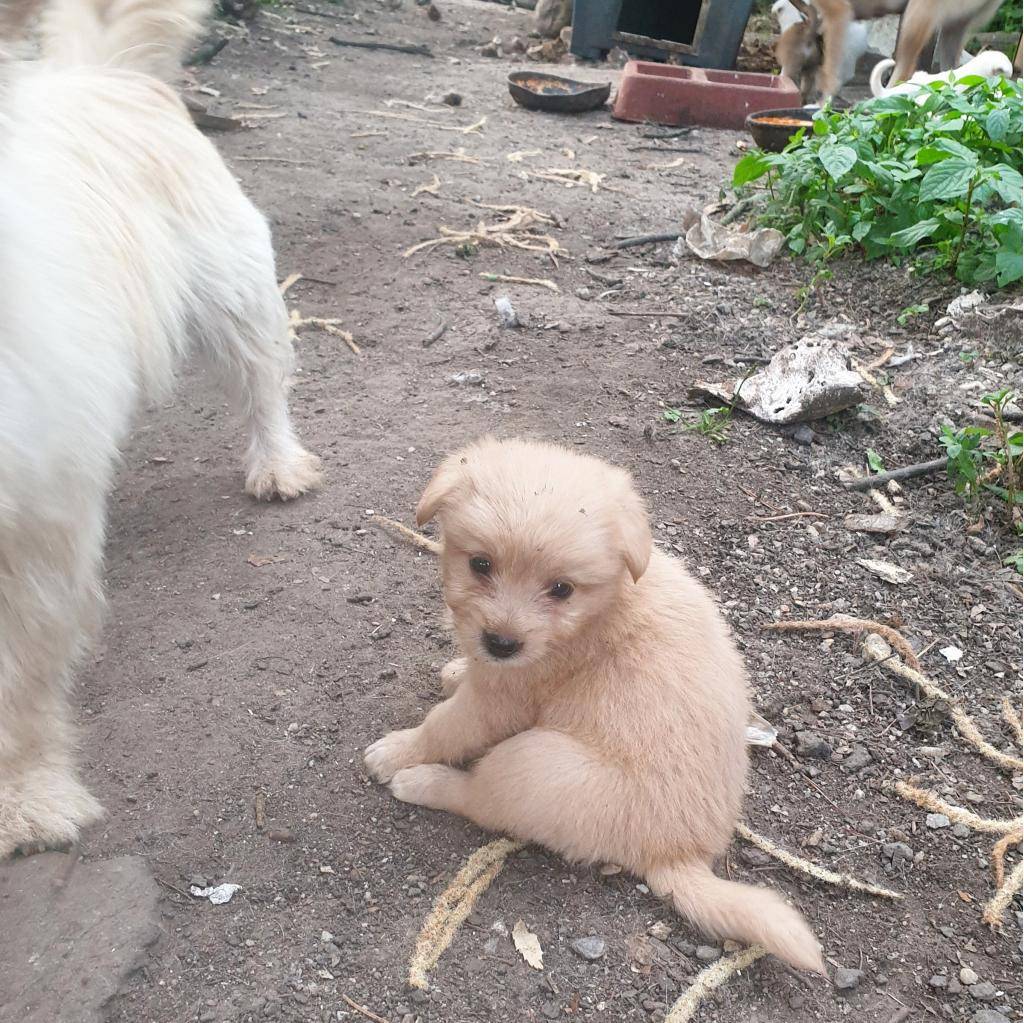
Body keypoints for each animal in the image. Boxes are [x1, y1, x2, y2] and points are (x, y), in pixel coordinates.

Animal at [0, 0, 319, 860]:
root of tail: (105, 72)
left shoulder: (32, 524)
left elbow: (16, 677)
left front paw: (22, 798)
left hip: (233, 290)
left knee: (264, 380)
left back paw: (278, 464)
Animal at [366, 436, 823, 970]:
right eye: (480, 564)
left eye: (562, 589)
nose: (501, 643)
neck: (606, 604)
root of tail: (680, 855)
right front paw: (458, 670)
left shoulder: (503, 701)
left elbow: (444, 726)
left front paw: (397, 751)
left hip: (533, 762)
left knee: (480, 802)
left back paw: (422, 782)